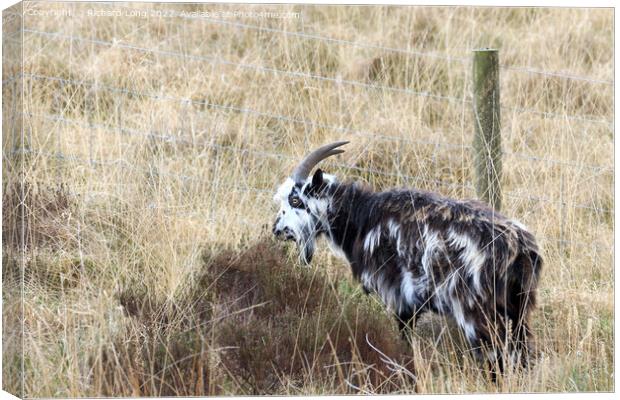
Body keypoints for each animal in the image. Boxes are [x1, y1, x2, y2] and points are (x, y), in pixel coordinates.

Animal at [272, 141, 544, 372]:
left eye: (295, 199)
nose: (276, 229)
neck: (363, 218)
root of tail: (520, 248)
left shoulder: (399, 295)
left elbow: (404, 336)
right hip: (519, 310)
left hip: (476, 313)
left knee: (497, 354)